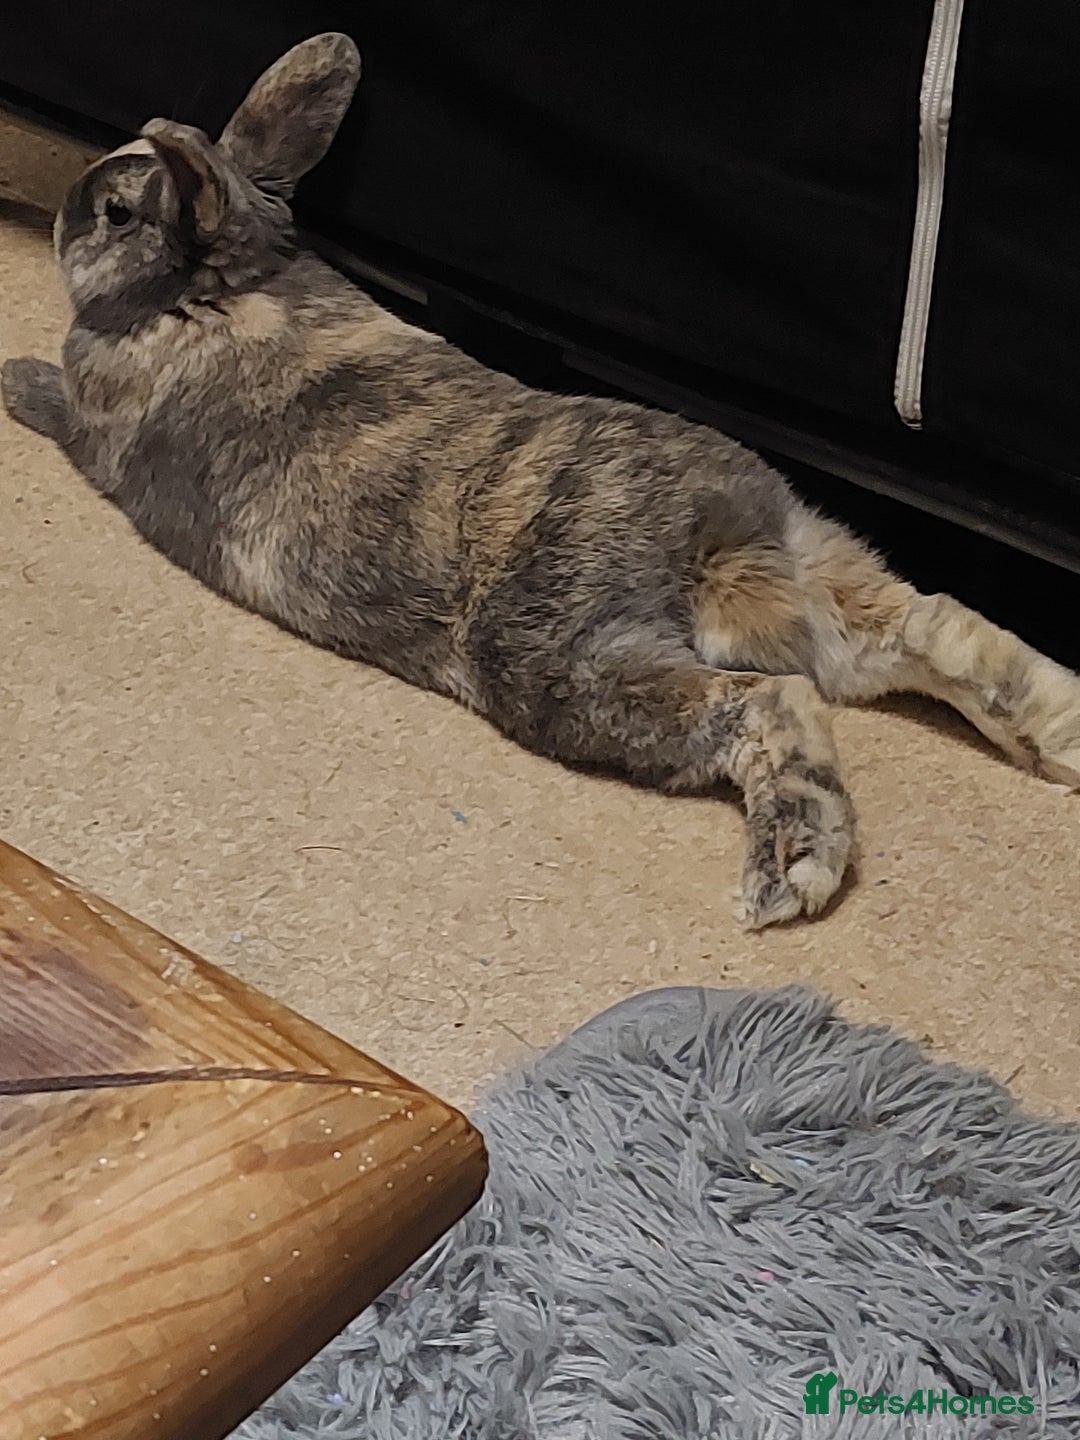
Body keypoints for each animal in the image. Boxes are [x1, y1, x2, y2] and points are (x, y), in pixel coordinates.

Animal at [5, 32, 1080, 929]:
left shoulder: (102, 421)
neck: (219, 290)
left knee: (774, 703)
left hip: (569, 667)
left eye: (115, 211)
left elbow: (65, 409)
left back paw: (791, 871)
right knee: (932, 628)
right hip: (810, 575)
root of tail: (704, 532)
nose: (66, 215)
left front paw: (17, 381)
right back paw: (1061, 737)